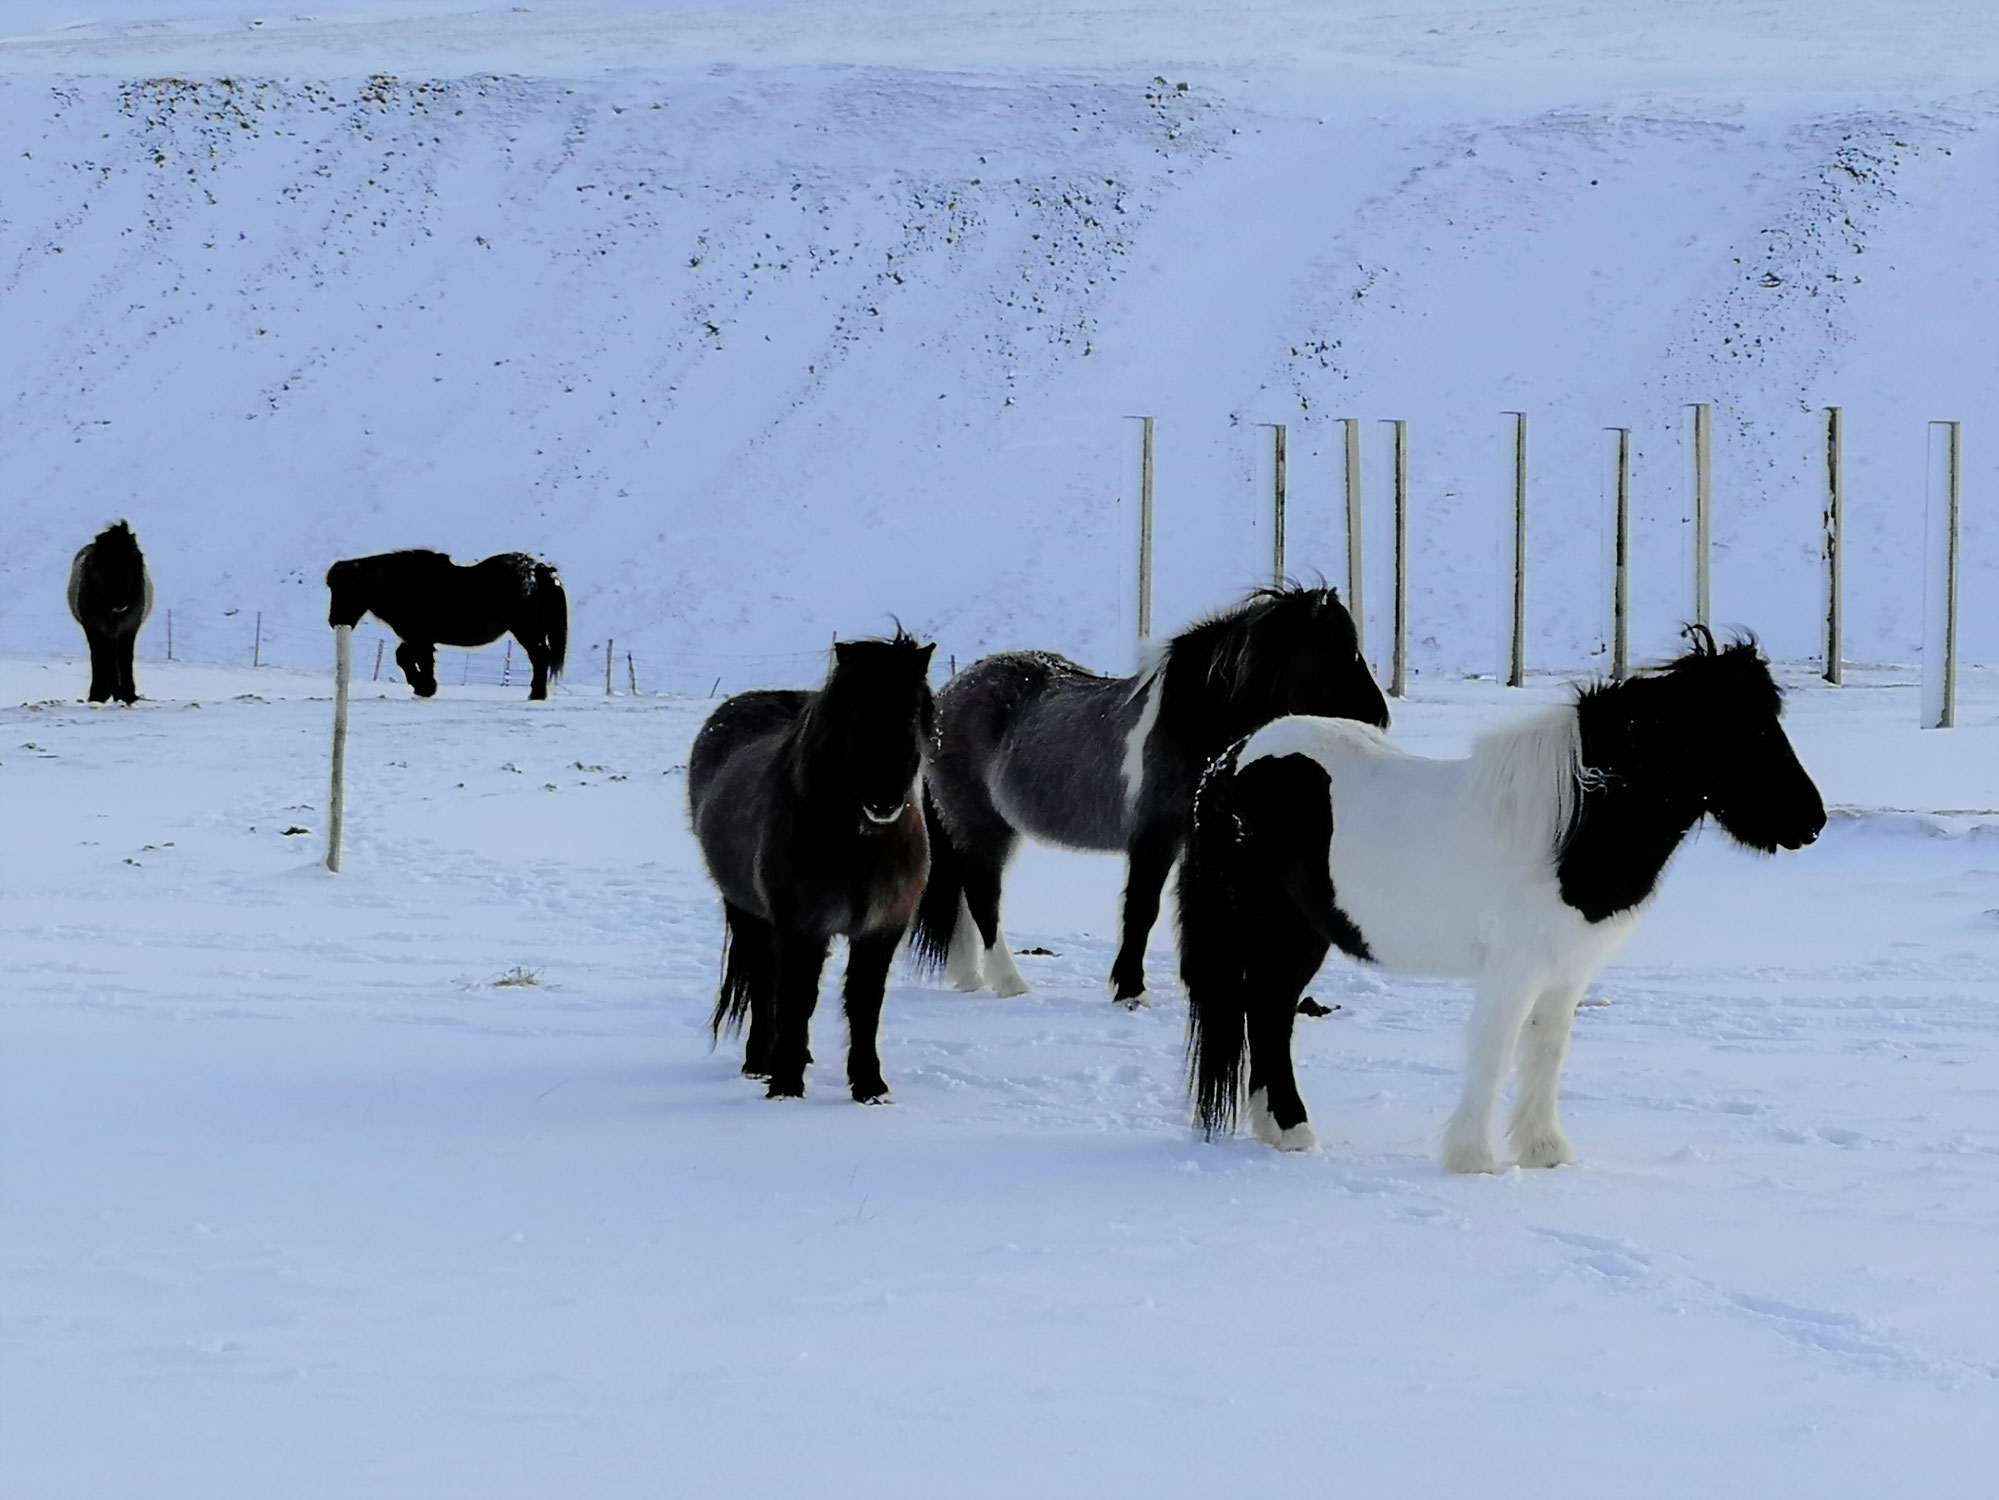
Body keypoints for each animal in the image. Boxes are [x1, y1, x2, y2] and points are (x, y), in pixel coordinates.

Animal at [66, 524, 152, 704]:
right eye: (103, 561)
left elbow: (125, 658)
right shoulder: (93, 627)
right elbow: (100, 657)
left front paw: (128, 695)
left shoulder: (129, 627)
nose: (121, 601)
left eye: (134, 558)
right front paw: (98, 694)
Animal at [323, 548, 567, 704]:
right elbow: (405, 657)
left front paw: (426, 686)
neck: (402, 584)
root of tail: (537, 569)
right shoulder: (415, 638)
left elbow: (418, 659)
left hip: (526, 631)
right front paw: (423, 686)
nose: (334, 621)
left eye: (345, 588)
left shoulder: (419, 637)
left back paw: (536, 694)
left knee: (539, 656)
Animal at [687, 632, 935, 1104]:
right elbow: (797, 998)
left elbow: (864, 1003)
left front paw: (869, 1086)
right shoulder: (801, 927)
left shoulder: (881, 930)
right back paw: (760, 1061)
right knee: (765, 981)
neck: (858, 846)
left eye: (913, 708)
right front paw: (785, 1084)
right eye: (856, 708)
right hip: (749, 914)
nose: (884, 801)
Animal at [915, 588, 1383, 1012]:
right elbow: (1142, 910)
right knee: (983, 899)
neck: (1188, 721)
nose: (1378, 718)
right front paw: (1131, 991)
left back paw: (970, 977)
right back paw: (1011, 984)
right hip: (984, 826)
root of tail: (949, 695)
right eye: (1334, 650)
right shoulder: (1154, 836)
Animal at [1183, 632, 1831, 1176]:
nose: (1813, 821)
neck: (1571, 829)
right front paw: (1475, 1159)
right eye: (1749, 731)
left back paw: (1281, 1130)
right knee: (1266, 1009)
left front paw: (1545, 1151)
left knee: (1270, 1010)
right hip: (1267, 923)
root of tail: (1231, 761)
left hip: (1299, 934)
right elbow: (1495, 1053)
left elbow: (1545, 1055)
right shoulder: (1514, 970)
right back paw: (1293, 1130)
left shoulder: (1566, 973)